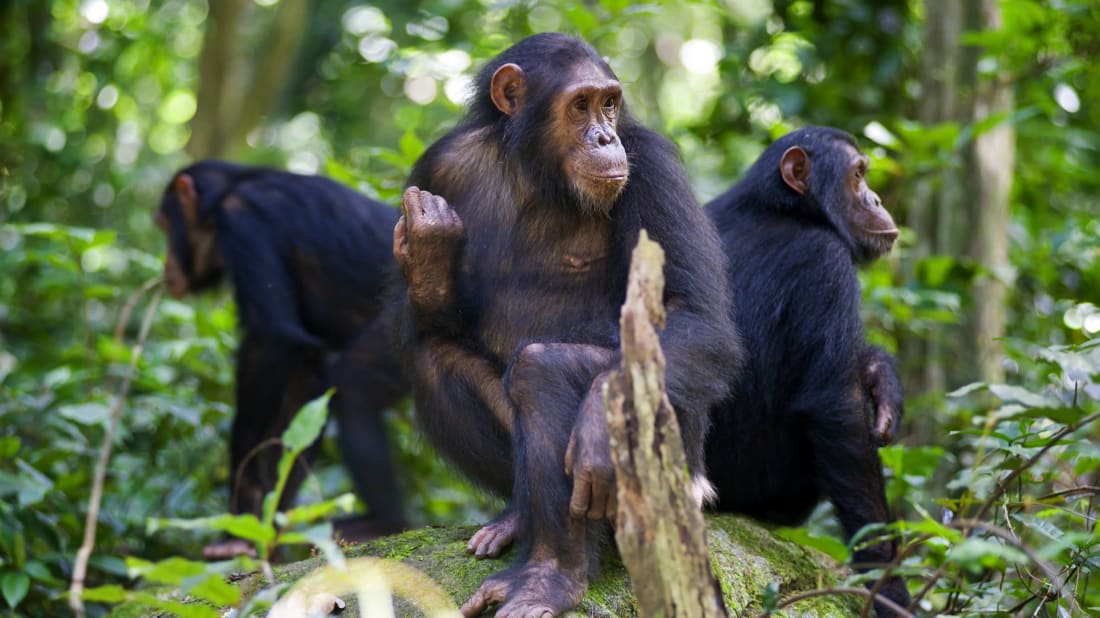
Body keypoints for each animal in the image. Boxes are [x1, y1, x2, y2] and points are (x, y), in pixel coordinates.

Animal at [155, 159, 409, 558]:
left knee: (354, 386)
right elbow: (303, 382)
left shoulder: (243, 222)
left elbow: (272, 341)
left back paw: (384, 523)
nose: (165, 264)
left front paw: (240, 514)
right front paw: (264, 528)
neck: (226, 193)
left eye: (165, 225)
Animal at [389, 34, 739, 615]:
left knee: (544, 369)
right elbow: (425, 322)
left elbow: (695, 311)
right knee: (433, 357)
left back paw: (550, 578)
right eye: (580, 106)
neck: (536, 170)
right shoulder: (436, 168)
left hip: (680, 474)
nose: (604, 136)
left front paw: (597, 424)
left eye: (610, 104)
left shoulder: (652, 166)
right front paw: (430, 251)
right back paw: (517, 526)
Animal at [704, 125, 910, 611]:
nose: (876, 198)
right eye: (858, 175)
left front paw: (882, 377)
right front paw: (889, 588)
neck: (784, 209)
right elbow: (837, 411)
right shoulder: (826, 264)